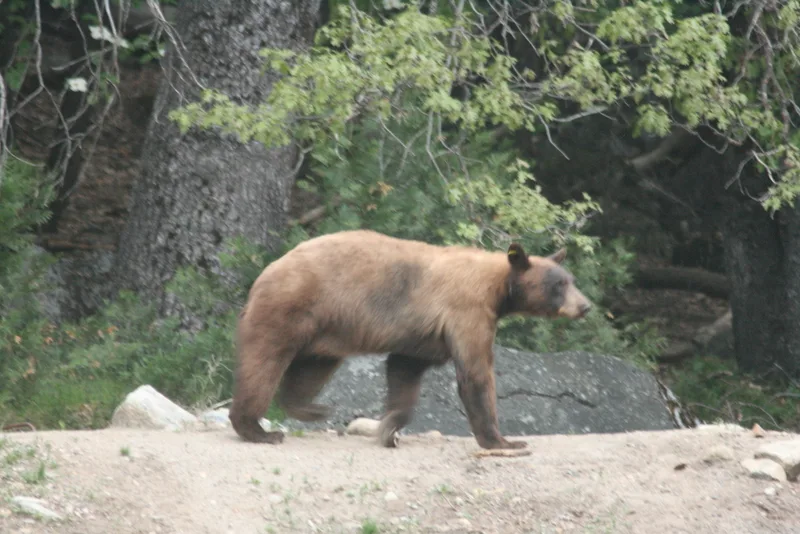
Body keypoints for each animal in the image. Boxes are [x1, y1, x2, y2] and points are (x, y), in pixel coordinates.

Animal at [228, 229, 592, 450]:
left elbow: (404, 369)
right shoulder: (467, 311)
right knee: (264, 362)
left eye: (571, 280)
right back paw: (259, 429)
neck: (498, 287)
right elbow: (475, 373)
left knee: (311, 367)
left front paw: (389, 428)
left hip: (326, 328)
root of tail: (265, 273)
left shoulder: (424, 335)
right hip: (290, 308)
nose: (585, 306)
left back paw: (311, 408)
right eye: (558, 285)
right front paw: (503, 441)